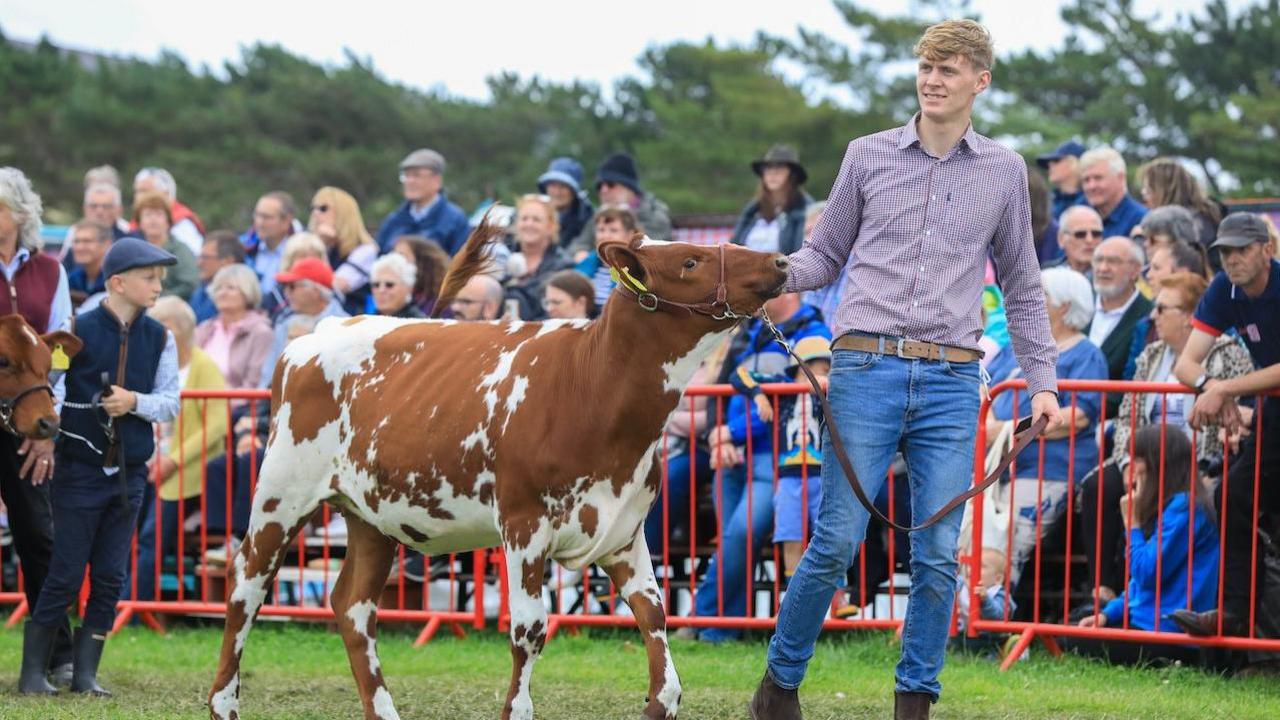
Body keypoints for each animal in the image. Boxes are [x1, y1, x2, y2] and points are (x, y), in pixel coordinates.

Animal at [209, 230, 788, 717]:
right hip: (281, 494)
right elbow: (530, 628)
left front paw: (660, 698)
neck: (592, 385)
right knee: (245, 587)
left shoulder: (624, 529)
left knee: (352, 606)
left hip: (370, 515)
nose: (781, 261)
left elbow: (654, 616)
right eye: (689, 261)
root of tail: (318, 333)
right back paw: (224, 704)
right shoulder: (523, 522)